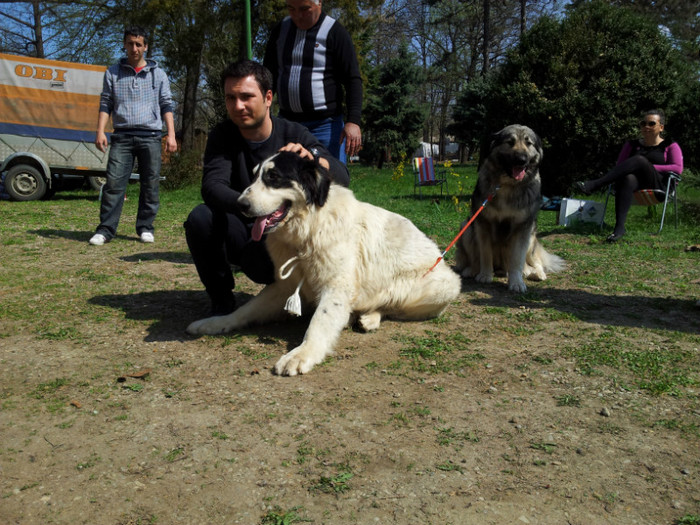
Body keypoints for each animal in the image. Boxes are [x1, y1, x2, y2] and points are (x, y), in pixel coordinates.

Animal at [186, 149, 462, 374]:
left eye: (273, 177)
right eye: (254, 177)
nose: (240, 204)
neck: (307, 229)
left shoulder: (337, 287)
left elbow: (319, 322)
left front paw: (301, 354)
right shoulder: (284, 286)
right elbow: (244, 311)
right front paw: (216, 322)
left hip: (437, 287)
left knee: (391, 305)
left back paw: (369, 318)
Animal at [456, 125, 568, 292]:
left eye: (528, 143)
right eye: (510, 142)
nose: (521, 160)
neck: (507, 185)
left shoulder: (522, 228)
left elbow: (517, 260)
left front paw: (516, 282)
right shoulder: (483, 224)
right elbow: (485, 254)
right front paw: (485, 275)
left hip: (531, 237)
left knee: (534, 262)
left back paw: (535, 273)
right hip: (467, 228)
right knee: (475, 258)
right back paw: (473, 270)